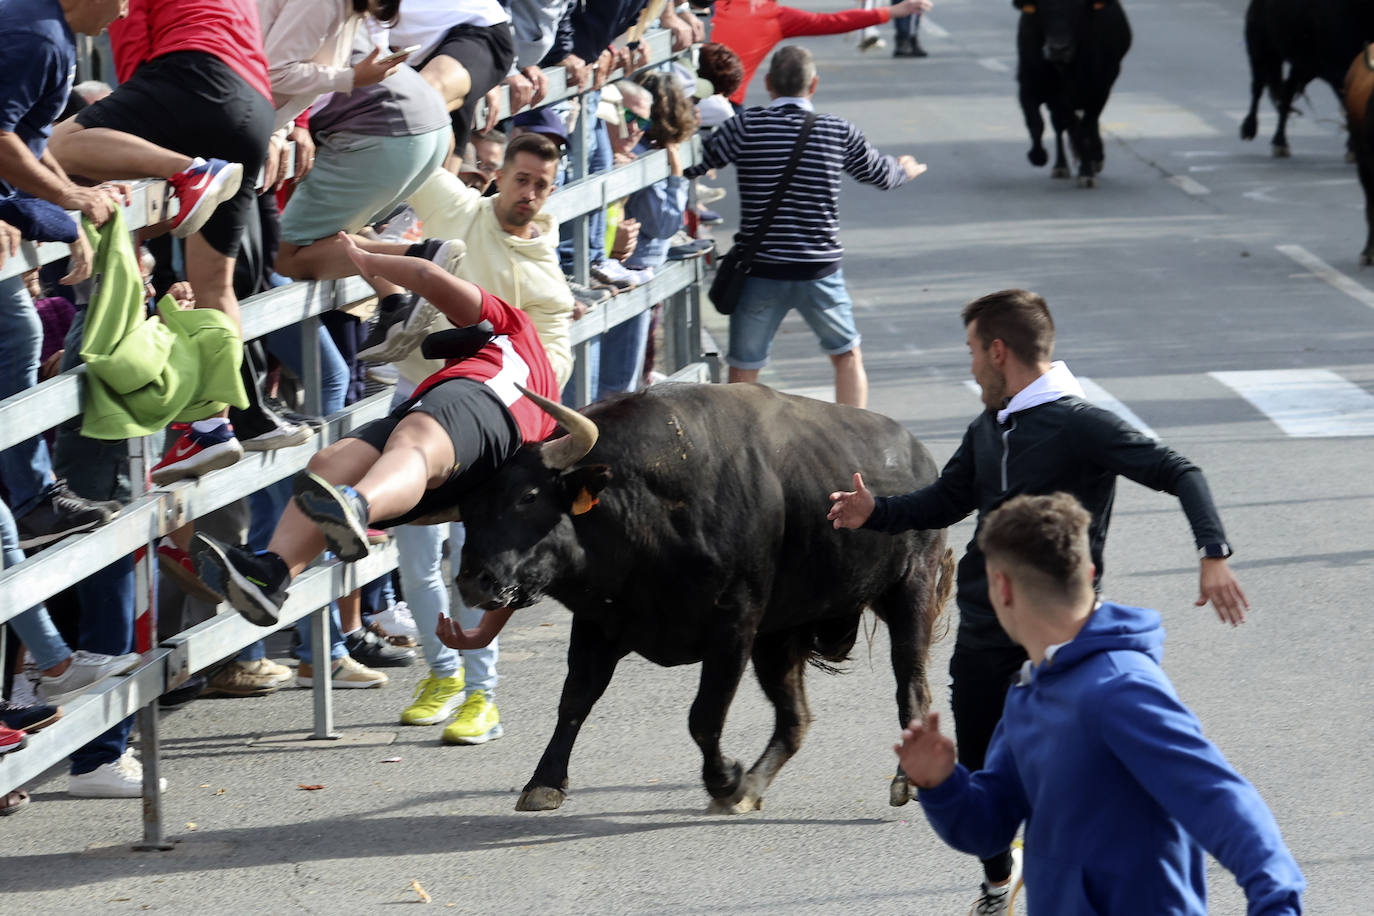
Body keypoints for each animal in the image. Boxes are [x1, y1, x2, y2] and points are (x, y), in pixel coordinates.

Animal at [450, 384, 956, 813]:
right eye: (467, 509)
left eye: (528, 496)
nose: (475, 582)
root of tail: (920, 458)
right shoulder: (600, 624)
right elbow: (575, 700)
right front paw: (544, 783)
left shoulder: (733, 627)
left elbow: (704, 717)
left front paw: (724, 779)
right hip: (781, 635)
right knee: (795, 718)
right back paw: (752, 787)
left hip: (908, 592)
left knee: (912, 688)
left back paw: (903, 781)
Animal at [1016, 0, 1132, 188]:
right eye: (1042, 8)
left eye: (1079, 8)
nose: (1059, 49)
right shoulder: (1027, 85)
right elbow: (1036, 123)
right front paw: (1038, 156)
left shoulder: (1098, 92)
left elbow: (1085, 129)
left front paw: (1086, 173)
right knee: (1060, 125)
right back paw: (1060, 166)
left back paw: (1094, 158)